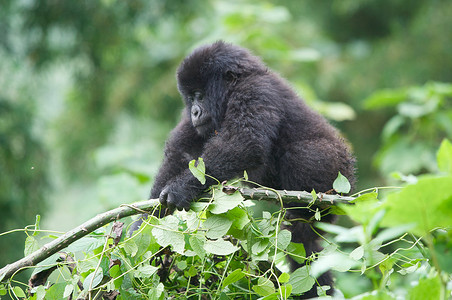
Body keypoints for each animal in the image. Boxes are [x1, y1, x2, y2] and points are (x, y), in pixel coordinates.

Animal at [147, 40, 354, 298]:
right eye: (190, 98)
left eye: (200, 96)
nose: (194, 111)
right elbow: (180, 155)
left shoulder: (254, 91)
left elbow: (244, 142)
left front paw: (179, 189)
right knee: (303, 242)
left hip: (339, 176)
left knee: (302, 154)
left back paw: (307, 208)